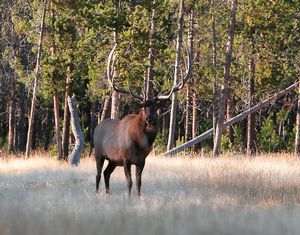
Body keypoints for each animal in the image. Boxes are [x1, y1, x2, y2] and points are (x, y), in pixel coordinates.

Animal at [94, 43, 192, 196]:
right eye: (143, 107)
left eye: (155, 107)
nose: (149, 119)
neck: (140, 143)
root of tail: (96, 127)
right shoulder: (126, 159)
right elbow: (129, 182)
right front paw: (129, 197)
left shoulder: (142, 160)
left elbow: (139, 183)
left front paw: (139, 197)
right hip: (99, 154)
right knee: (98, 174)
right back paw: (97, 193)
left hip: (113, 160)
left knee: (106, 173)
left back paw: (108, 193)